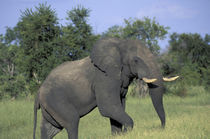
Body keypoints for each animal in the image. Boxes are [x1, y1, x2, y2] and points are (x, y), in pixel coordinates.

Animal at [33, 37, 179, 138]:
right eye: (136, 60)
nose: (161, 128)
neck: (119, 44)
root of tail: (38, 92)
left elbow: (119, 106)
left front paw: (119, 135)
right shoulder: (104, 77)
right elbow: (108, 107)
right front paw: (126, 133)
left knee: (50, 129)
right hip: (55, 100)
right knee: (72, 121)